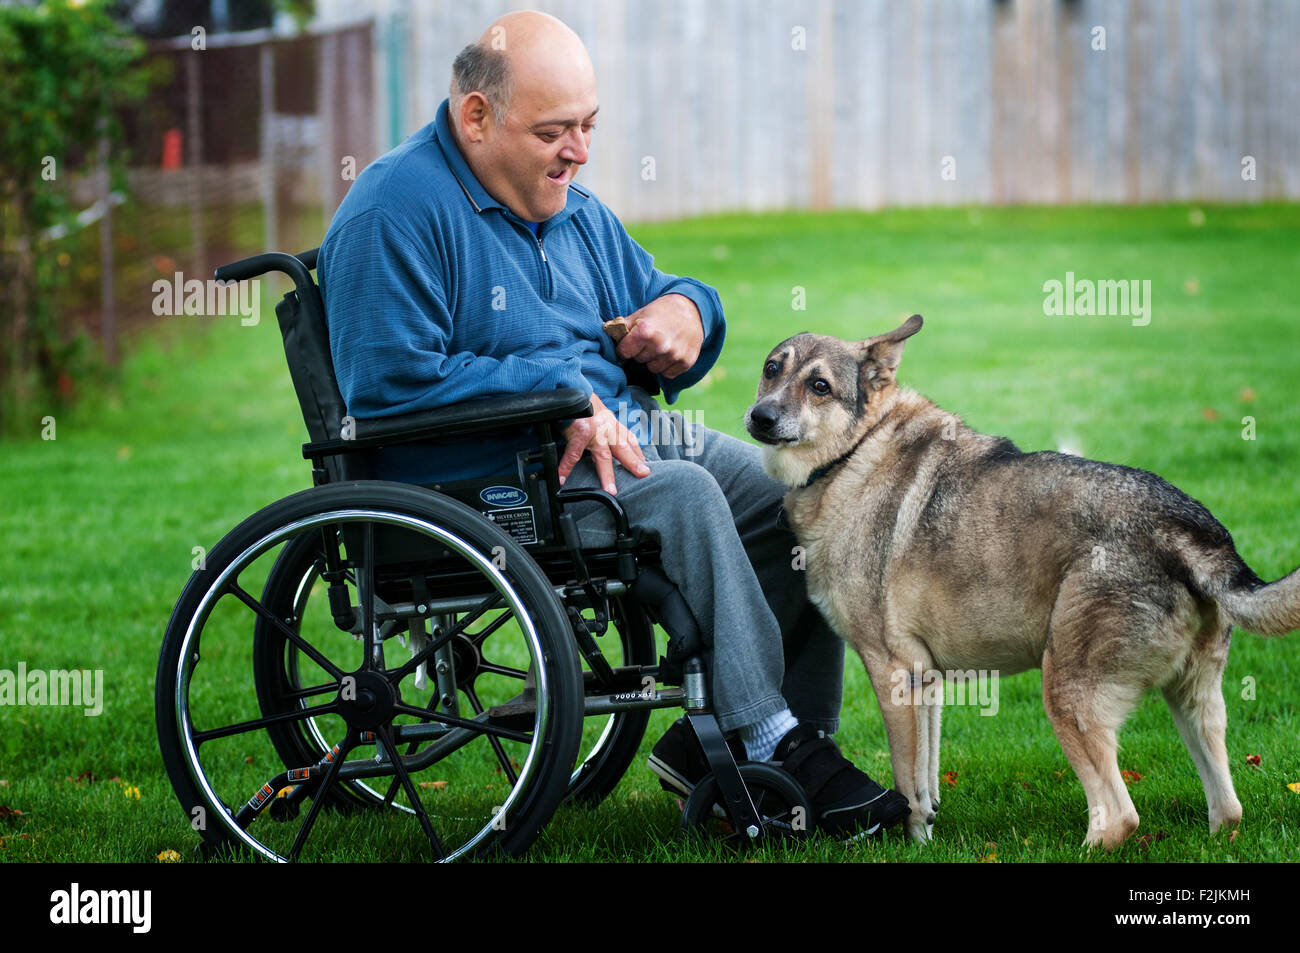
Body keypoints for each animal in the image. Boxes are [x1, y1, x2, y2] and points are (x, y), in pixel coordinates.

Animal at [748, 315, 1294, 842]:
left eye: (819, 385)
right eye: (772, 369)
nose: (760, 417)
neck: (855, 453)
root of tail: (1188, 527)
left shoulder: (892, 673)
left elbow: (906, 786)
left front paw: (909, 840)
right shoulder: (926, 680)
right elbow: (926, 781)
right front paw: (928, 832)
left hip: (1066, 693)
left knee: (1120, 819)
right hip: (1192, 703)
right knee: (1228, 810)